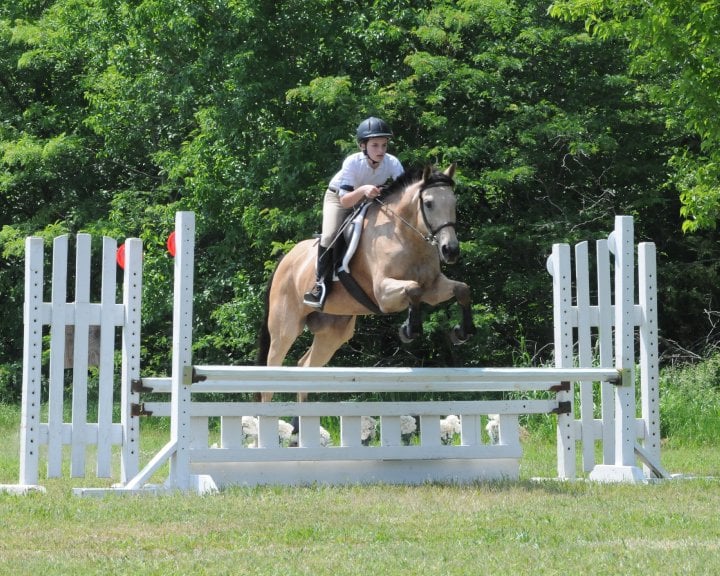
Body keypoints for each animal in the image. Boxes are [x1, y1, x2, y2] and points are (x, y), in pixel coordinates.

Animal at [256, 164, 475, 401]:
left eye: (454, 203)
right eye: (428, 203)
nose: (450, 250)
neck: (405, 236)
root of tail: (285, 259)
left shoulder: (433, 288)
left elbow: (462, 289)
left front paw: (462, 332)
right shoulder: (383, 294)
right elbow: (413, 290)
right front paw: (409, 330)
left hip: (333, 332)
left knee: (305, 367)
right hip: (284, 328)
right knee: (270, 375)